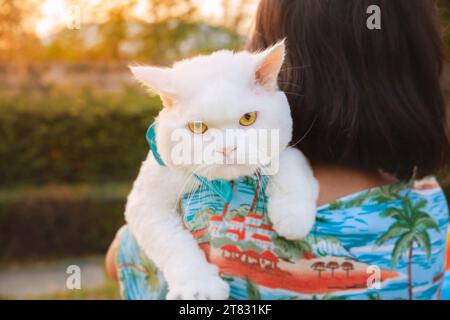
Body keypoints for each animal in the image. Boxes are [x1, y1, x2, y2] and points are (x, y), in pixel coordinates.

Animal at [125, 40, 318, 300]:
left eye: (248, 118)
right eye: (198, 127)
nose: (227, 149)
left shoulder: (285, 150)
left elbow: (289, 161)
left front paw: (292, 215)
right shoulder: (145, 203)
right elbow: (172, 243)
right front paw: (198, 286)